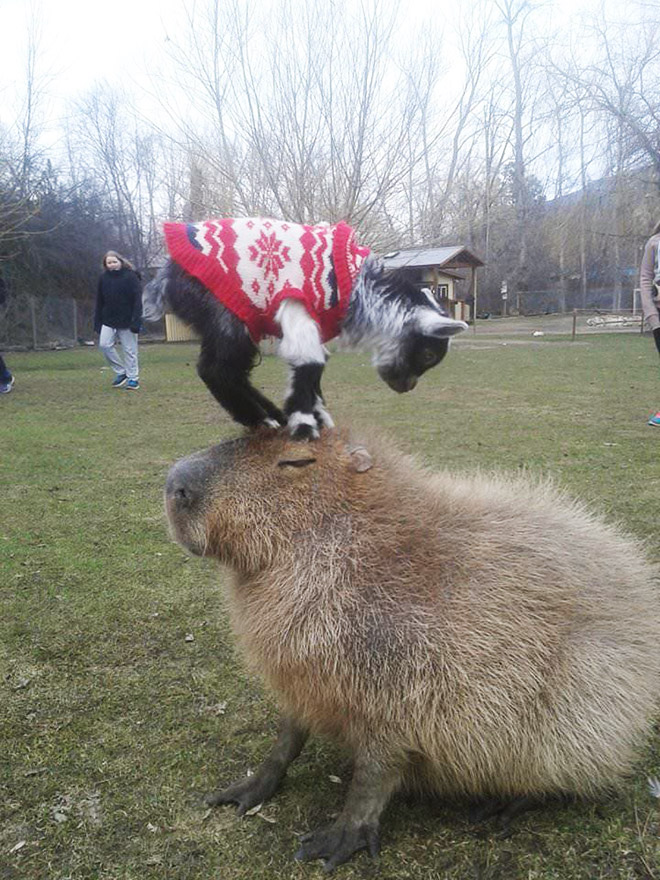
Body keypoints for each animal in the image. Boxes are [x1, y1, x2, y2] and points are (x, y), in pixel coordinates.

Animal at [143, 218, 470, 438]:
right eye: (428, 354)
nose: (407, 387)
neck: (358, 287)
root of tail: (166, 275)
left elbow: (317, 363)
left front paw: (316, 414)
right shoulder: (297, 304)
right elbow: (309, 360)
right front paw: (304, 423)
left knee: (236, 372)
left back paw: (273, 414)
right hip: (225, 312)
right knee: (214, 369)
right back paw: (260, 420)